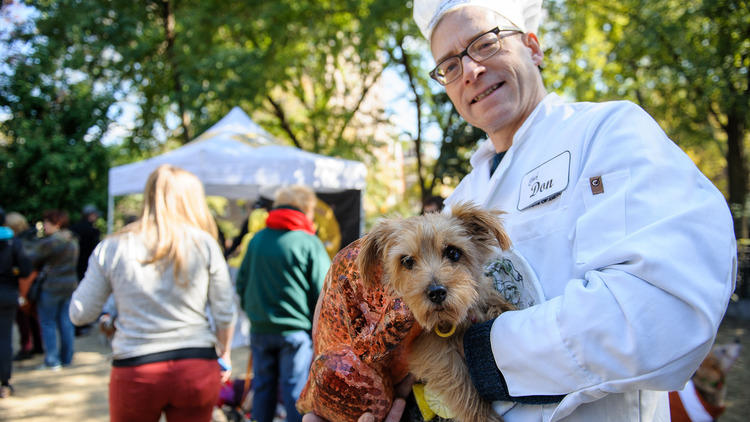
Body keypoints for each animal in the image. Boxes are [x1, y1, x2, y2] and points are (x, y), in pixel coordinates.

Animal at [360, 203, 516, 420]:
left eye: (453, 252)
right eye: (407, 261)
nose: (436, 292)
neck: (446, 323)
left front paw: (499, 308)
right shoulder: (431, 351)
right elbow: (461, 384)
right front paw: (484, 417)